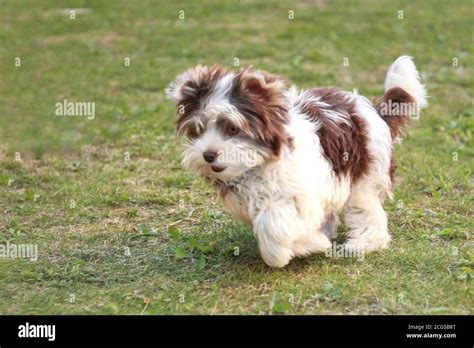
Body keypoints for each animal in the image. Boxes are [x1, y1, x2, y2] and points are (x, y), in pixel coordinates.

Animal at [166, 57, 426, 268]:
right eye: (199, 130)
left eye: (232, 128)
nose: (208, 155)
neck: (258, 165)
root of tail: (374, 109)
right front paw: (310, 243)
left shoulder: (299, 193)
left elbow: (272, 222)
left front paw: (289, 251)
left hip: (366, 174)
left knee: (367, 209)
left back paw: (364, 242)